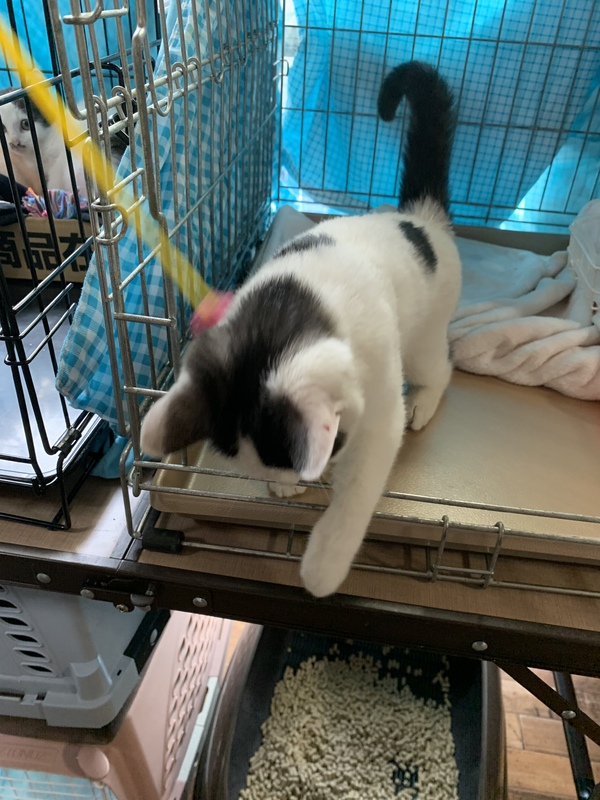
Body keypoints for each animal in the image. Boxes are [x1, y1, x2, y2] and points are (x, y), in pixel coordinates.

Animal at [141, 60, 462, 598]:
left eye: (334, 445)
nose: (307, 478)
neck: (289, 305)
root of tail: (422, 219)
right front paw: (283, 485)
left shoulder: (378, 408)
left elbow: (359, 489)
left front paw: (323, 566)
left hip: (421, 335)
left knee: (440, 367)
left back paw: (425, 399)